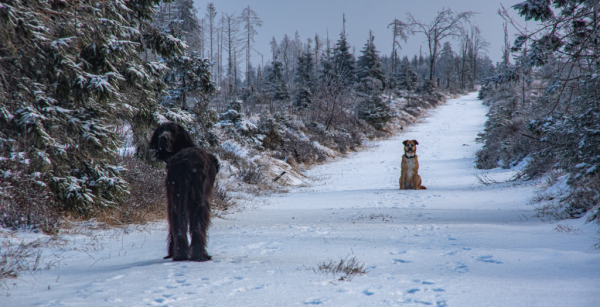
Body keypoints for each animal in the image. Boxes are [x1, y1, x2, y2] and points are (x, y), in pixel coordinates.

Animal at [149, 122, 219, 262]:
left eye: (172, 130)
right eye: (161, 131)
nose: (162, 138)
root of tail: (183, 162)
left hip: (175, 196)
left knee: (176, 224)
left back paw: (179, 254)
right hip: (199, 198)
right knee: (198, 226)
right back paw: (200, 255)